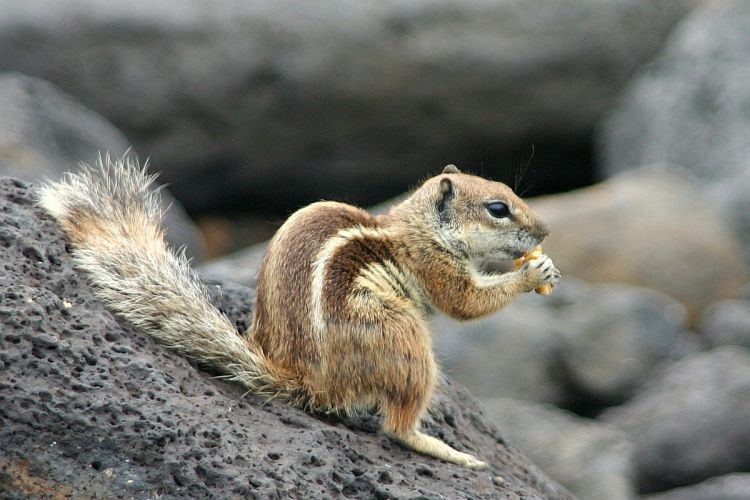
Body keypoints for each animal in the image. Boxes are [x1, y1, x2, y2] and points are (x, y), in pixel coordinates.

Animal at [38, 156, 560, 468]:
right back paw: (446, 449)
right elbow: (466, 303)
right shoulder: (433, 265)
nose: (546, 231)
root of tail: (305, 379)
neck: (417, 228)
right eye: (497, 208)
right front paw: (532, 273)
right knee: (396, 426)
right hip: (401, 336)